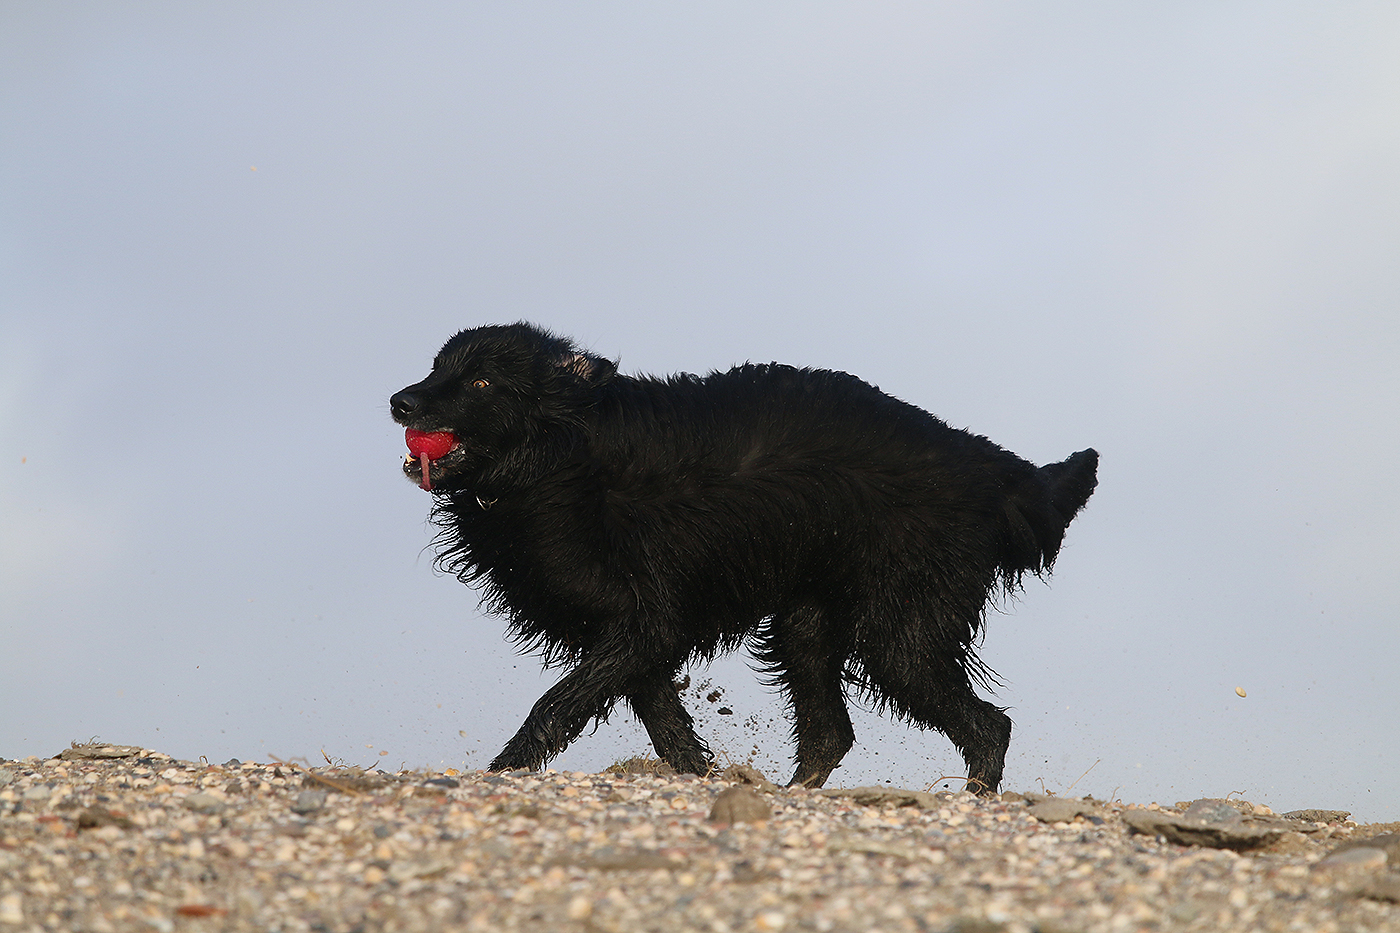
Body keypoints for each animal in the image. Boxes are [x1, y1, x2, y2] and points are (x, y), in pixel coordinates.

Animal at [390, 323, 1097, 793]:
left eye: (482, 380)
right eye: (436, 366)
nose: (401, 401)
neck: (557, 460)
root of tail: (995, 473)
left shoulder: (644, 618)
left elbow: (555, 705)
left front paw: (502, 772)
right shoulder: (627, 632)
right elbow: (664, 721)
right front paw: (700, 778)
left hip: (898, 631)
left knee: (987, 725)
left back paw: (973, 803)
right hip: (809, 623)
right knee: (831, 731)